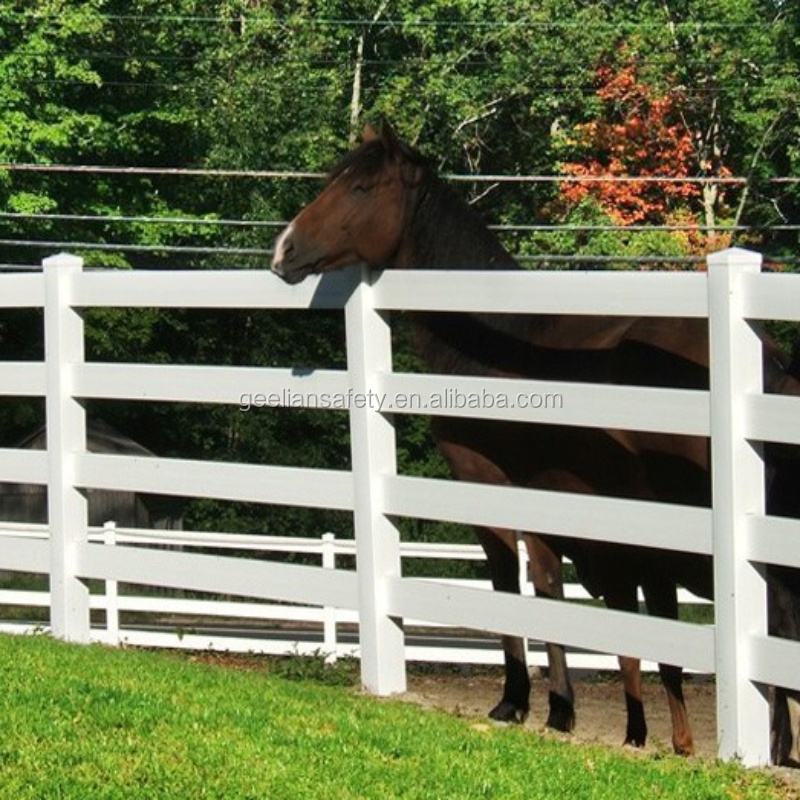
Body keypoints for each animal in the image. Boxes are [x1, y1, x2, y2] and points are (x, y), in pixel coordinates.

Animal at [270, 122, 800, 760]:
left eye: (362, 187)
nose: (283, 250)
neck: (496, 337)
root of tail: (769, 355)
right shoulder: (548, 501)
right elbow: (551, 588)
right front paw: (561, 709)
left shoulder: (490, 485)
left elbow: (510, 581)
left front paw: (517, 701)